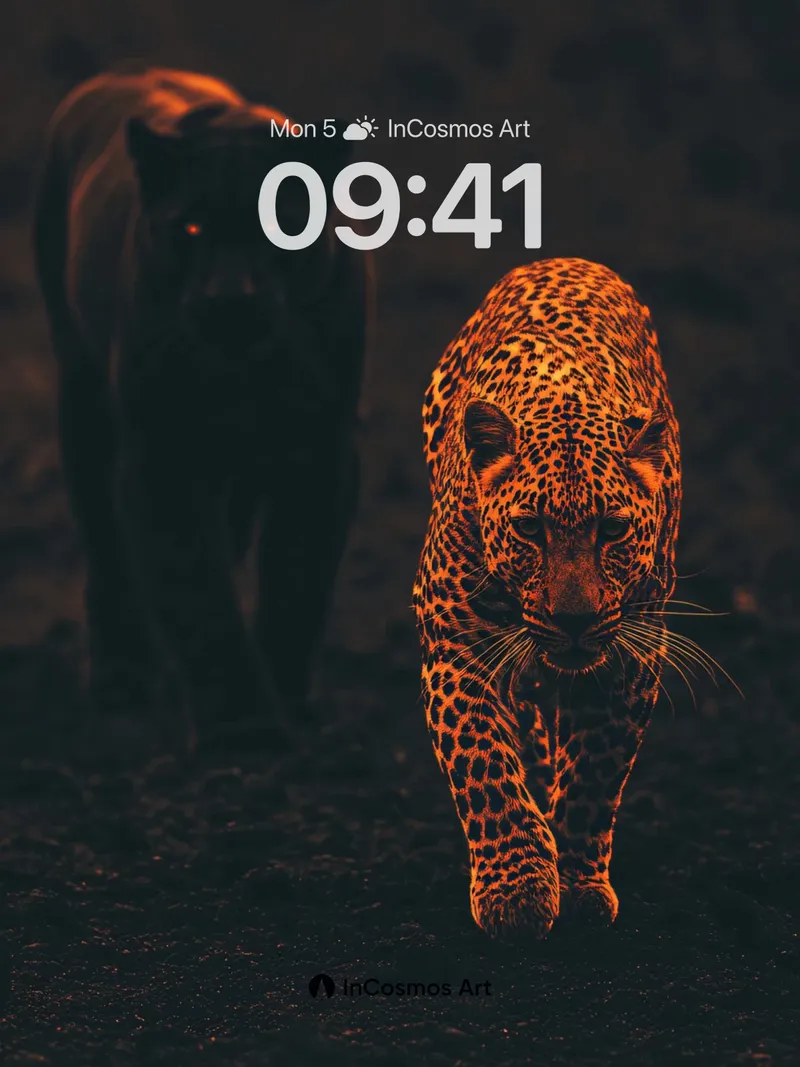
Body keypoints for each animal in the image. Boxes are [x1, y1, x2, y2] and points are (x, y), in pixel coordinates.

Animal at [33, 64, 372, 754]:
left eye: (284, 223)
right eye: (190, 229)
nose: (229, 299)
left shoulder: (319, 447)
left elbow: (297, 577)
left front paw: (284, 704)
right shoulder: (161, 455)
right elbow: (196, 589)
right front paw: (242, 730)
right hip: (83, 406)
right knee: (107, 550)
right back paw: (122, 680)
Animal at [413, 257, 681, 938]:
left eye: (613, 530)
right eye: (530, 529)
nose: (575, 620)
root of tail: (565, 259)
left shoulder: (630, 660)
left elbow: (594, 777)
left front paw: (577, 884)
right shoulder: (456, 647)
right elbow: (483, 763)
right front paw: (520, 893)